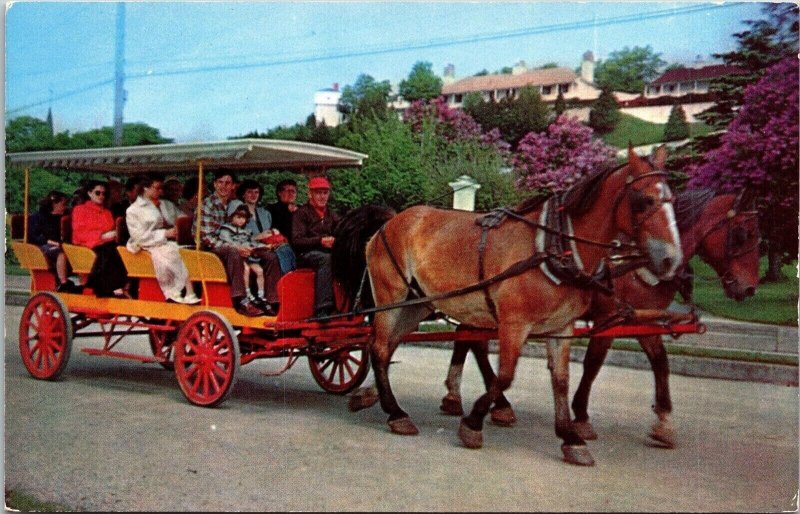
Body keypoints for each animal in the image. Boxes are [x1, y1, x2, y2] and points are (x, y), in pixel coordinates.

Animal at [346, 145, 680, 464]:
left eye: (672, 199)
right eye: (645, 201)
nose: (671, 260)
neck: (555, 247)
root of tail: (389, 222)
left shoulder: (562, 326)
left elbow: (561, 380)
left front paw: (570, 437)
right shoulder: (514, 323)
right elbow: (506, 375)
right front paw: (474, 423)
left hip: (419, 303)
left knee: (386, 346)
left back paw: (373, 397)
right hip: (391, 297)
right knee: (380, 348)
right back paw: (395, 412)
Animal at [440, 189, 760, 448]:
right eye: (743, 233)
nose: (749, 288)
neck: (635, 264)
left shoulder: (639, 320)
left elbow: (660, 362)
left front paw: (664, 423)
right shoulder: (611, 316)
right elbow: (593, 364)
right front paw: (581, 417)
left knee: (468, 340)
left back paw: (459, 397)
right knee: (474, 343)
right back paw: (496, 404)